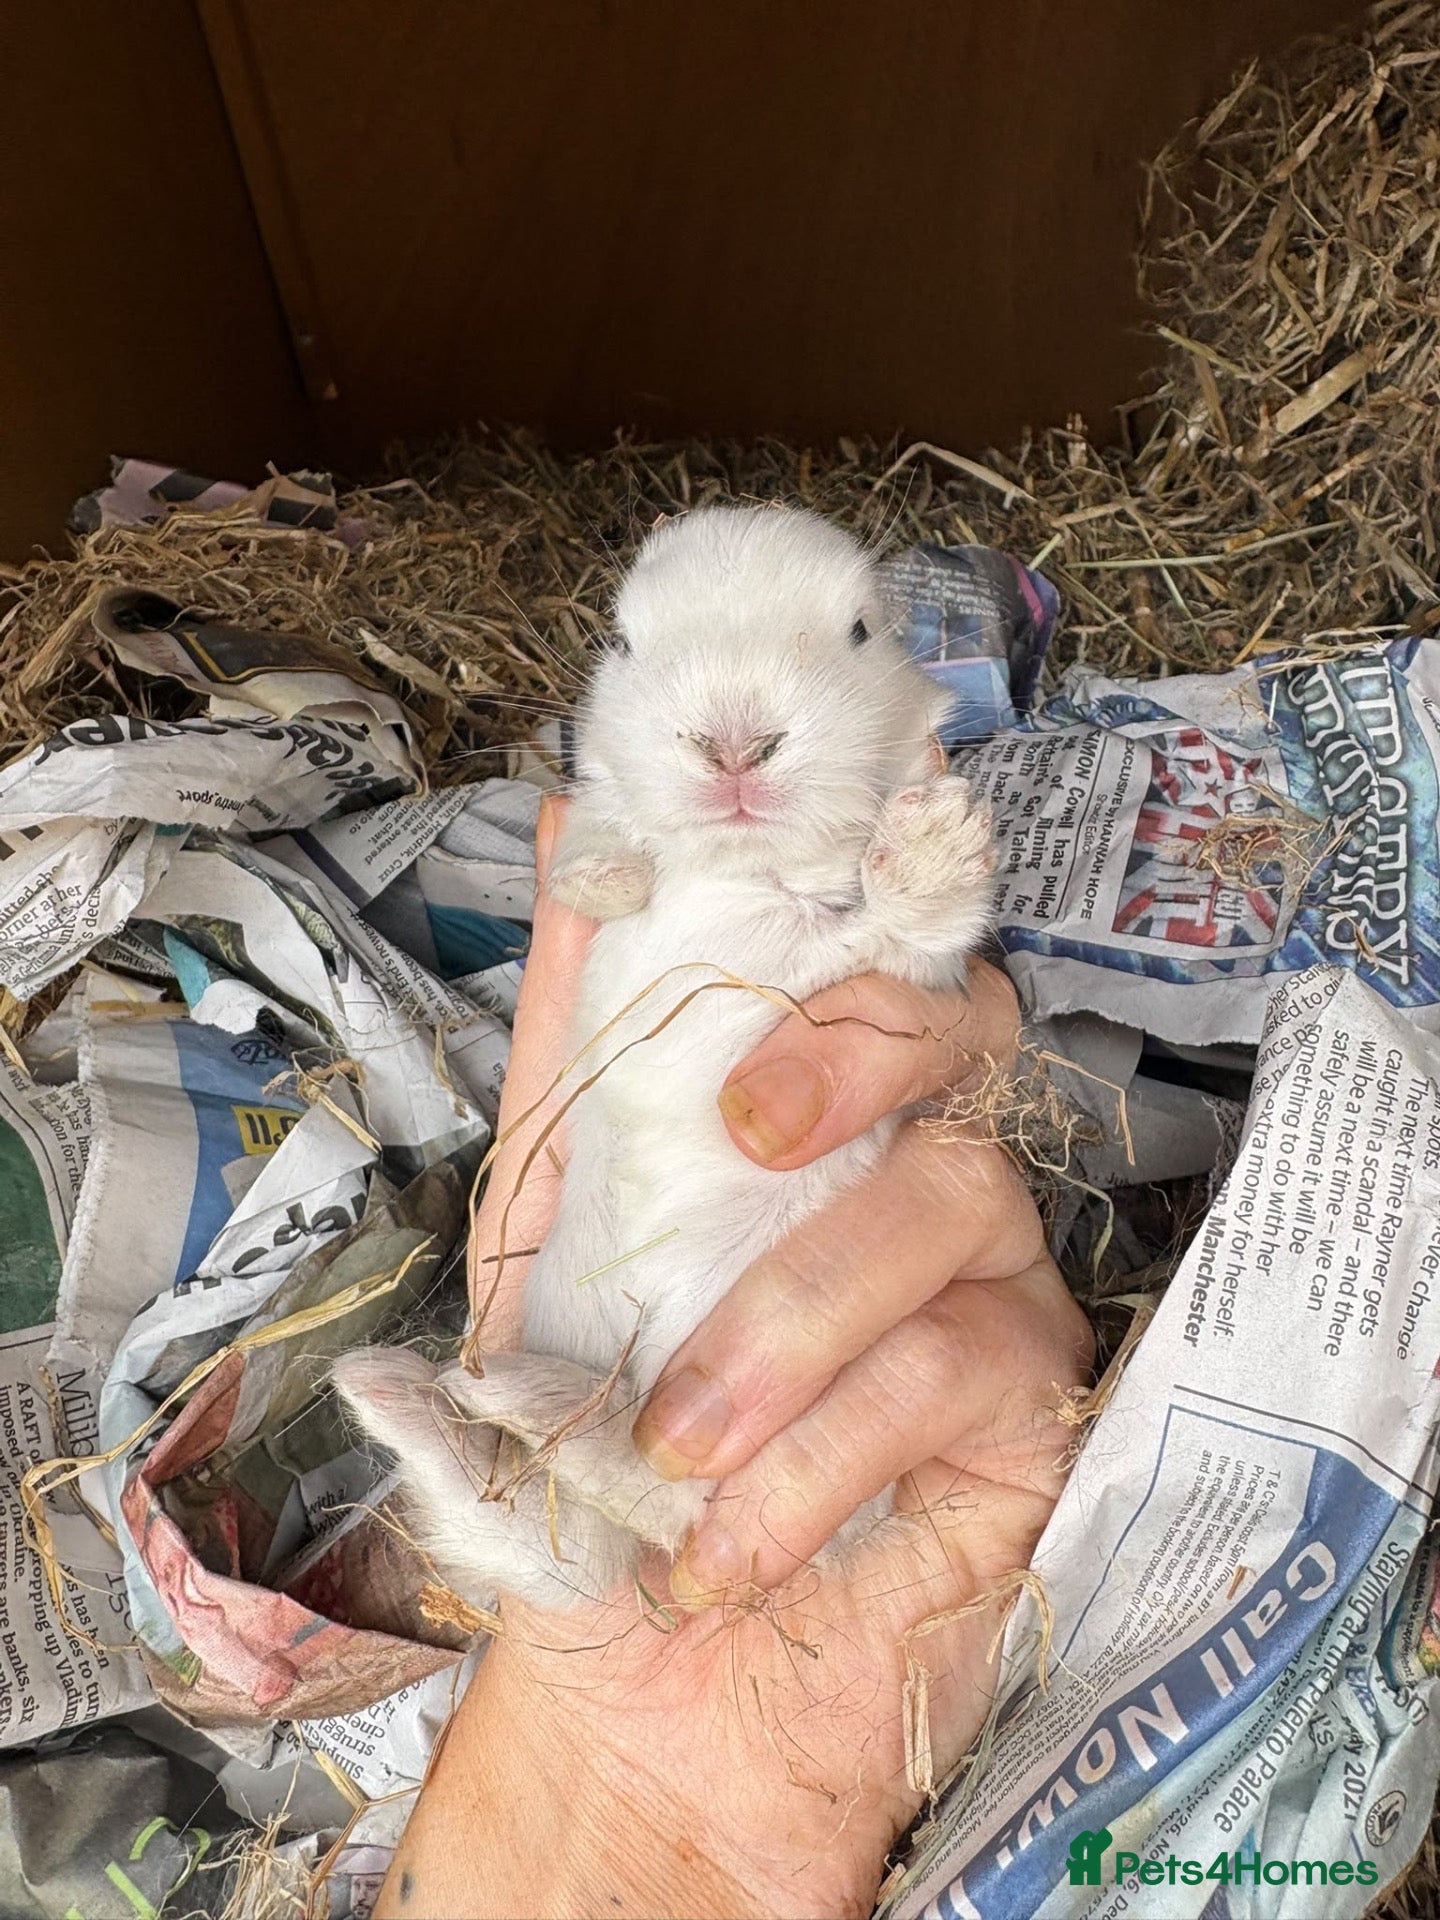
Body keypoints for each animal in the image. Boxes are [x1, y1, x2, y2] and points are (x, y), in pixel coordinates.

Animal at [333, 505, 997, 1613]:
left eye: (862, 631)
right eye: (625, 641)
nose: (732, 744)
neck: (743, 869)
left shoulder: (899, 973)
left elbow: (901, 928)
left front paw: (937, 839)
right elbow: (609, 829)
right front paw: (601, 876)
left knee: (656, 1486)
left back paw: (494, 1398)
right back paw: (427, 1392)